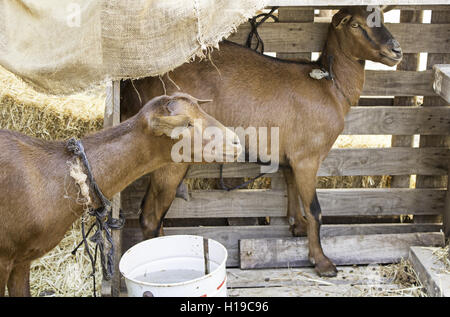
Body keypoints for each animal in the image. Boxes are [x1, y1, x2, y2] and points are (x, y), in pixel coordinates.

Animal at [120, 6, 404, 276]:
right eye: (355, 24)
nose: (396, 50)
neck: (330, 86)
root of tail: (134, 86)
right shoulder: (308, 158)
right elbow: (315, 210)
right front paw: (322, 262)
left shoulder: (291, 157)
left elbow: (292, 189)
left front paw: (297, 226)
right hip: (171, 160)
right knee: (150, 216)